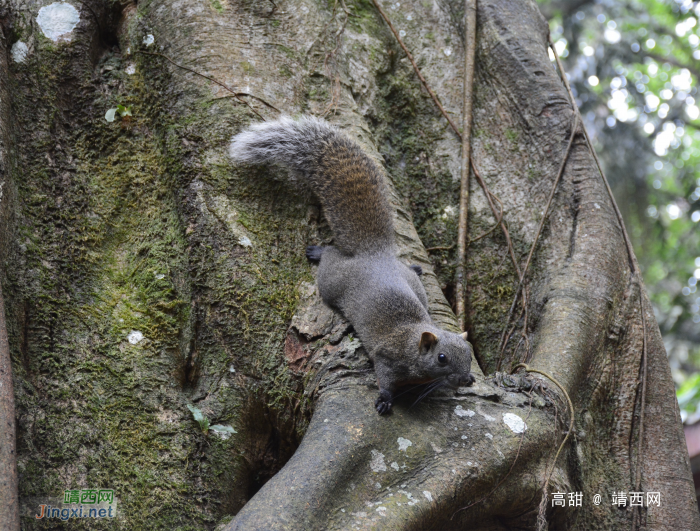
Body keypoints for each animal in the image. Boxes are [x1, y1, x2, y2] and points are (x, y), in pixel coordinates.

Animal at [230, 116, 476, 416]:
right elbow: (385, 380)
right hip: (332, 282)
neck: (411, 340)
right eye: (442, 358)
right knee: (330, 258)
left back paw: (416, 268)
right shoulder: (386, 357)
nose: (468, 379)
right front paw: (385, 400)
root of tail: (372, 253)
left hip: (414, 285)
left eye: (469, 352)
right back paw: (319, 251)